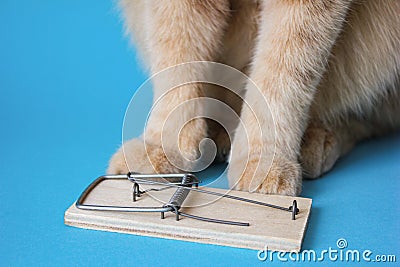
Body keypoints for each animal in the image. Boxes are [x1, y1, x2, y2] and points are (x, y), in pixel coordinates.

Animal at [107, 0, 400, 197]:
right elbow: (177, 57)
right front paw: (160, 145)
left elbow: (283, 67)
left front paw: (264, 159)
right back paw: (218, 134)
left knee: (371, 118)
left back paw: (319, 140)